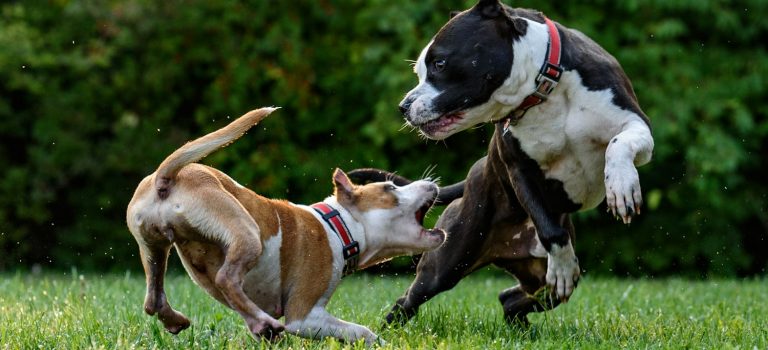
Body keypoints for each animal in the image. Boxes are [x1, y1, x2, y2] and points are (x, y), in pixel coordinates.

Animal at [126, 107, 444, 344]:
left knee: (153, 298)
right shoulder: (305, 316)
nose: (431, 182)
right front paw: (381, 343)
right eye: (390, 188)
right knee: (226, 278)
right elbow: (360, 331)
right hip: (246, 231)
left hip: (154, 247)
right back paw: (263, 321)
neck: (338, 225)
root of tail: (165, 178)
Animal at [348, 0, 656, 326]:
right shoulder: (519, 169)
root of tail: (475, 171)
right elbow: (550, 230)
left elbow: (618, 143)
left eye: (440, 64)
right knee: (410, 298)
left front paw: (621, 186)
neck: (543, 91)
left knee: (511, 298)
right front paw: (561, 265)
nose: (403, 106)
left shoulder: (637, 124)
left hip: (537, 280)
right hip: (446, 263)